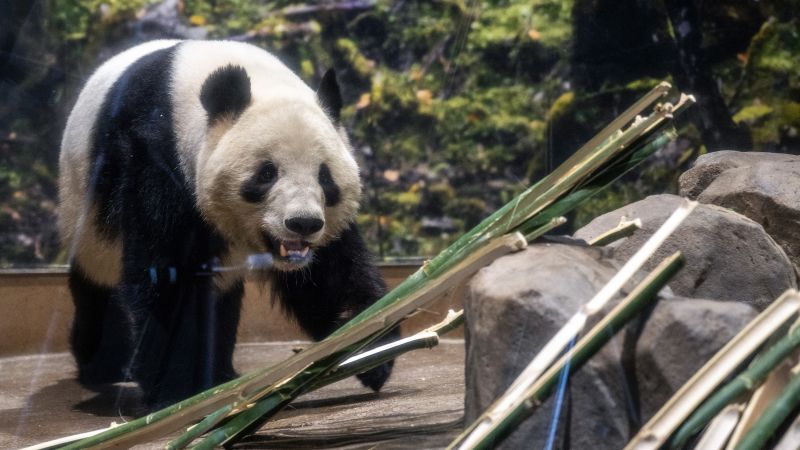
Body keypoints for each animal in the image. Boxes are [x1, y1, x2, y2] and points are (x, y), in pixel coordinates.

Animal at [58, 40, 397, 408]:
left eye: (324, 176)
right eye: (266, 173)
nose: (303, 223)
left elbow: (331, 273)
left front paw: (370, 348)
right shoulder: (154, 155)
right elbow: (166, 275)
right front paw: (174, 391)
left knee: (221, 296)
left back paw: (220, 370)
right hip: (85, 207)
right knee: (99, 281)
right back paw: (104, 364)